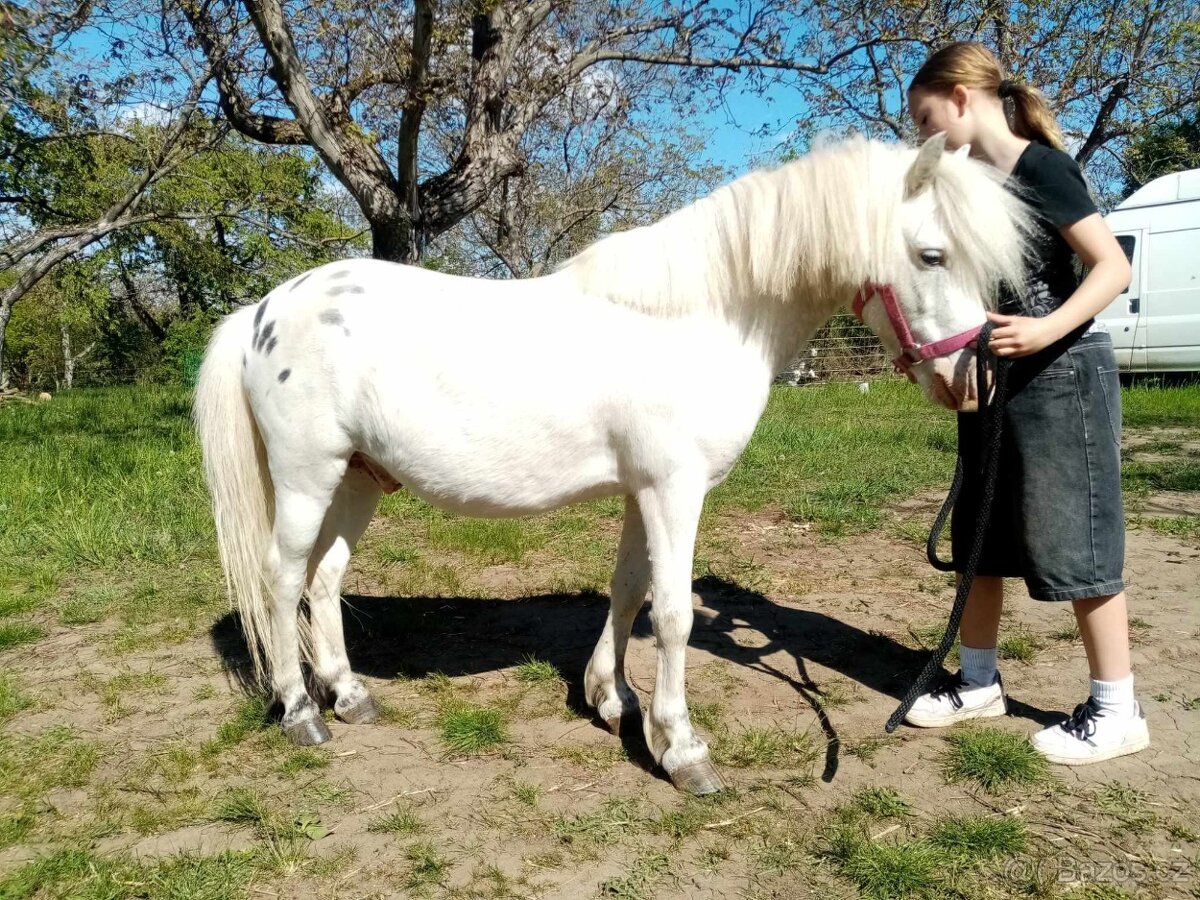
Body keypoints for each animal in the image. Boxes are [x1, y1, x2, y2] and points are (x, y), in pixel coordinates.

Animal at [194, 133, 1032, 795]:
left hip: (360, 477)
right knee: (282, 578)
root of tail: (263, 312)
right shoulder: (675, 490)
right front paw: (683, 750)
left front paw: (612, 700)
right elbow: (674, 614)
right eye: (931, 254)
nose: (972, 381)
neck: (701, 316)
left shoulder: (644, 491)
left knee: (325, 578)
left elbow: (629, 592)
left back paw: (349, 694)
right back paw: (303, 714)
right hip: (307, 478)